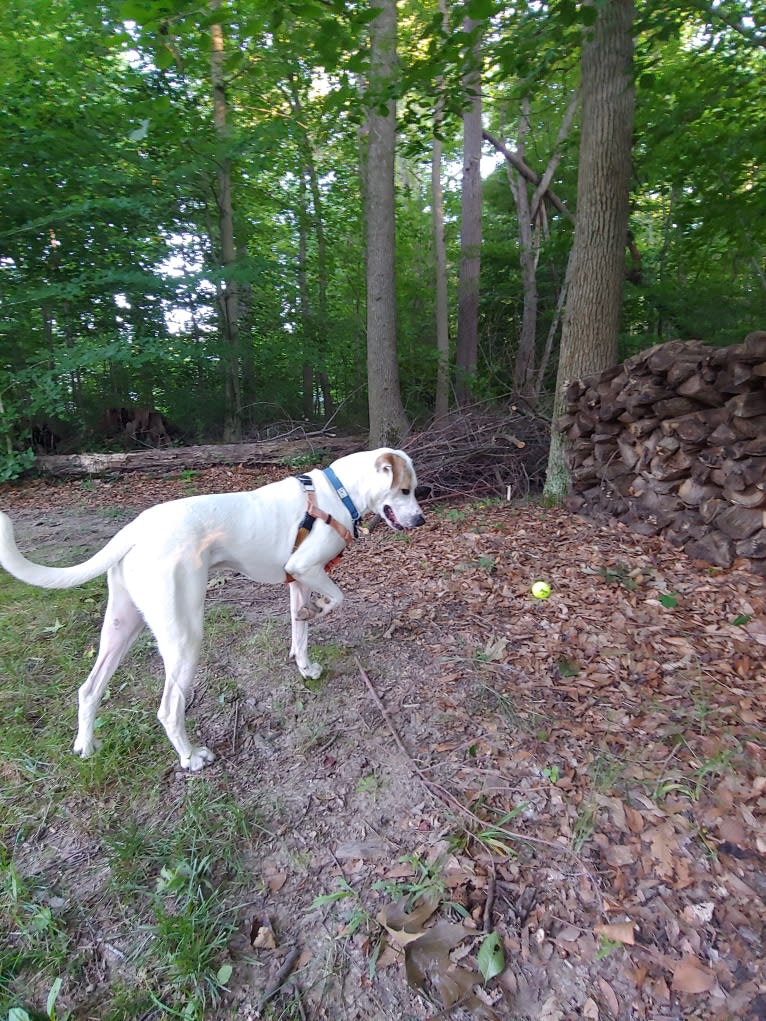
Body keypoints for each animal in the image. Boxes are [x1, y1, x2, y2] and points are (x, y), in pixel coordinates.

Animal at [0, 447, 426, 767]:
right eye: (405, 490)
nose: (420, 519)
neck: (337, 493)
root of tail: (136, 528)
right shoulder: (306, 568)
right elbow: (336, 600)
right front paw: (315, 616)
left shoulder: (298, 580)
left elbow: (300, 632)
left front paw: (305, 665)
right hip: (184, 638)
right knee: (169, 709)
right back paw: (191, 759)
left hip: (122, 626)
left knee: (89, 690)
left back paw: (87, 747)